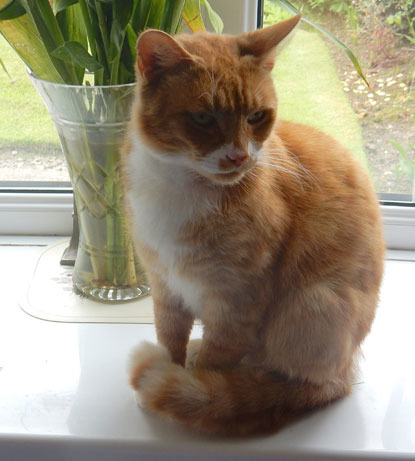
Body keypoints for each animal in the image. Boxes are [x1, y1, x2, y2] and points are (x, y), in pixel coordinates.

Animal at [122, 15, 386, 434]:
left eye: (256, 116)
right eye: (203, 118)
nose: (239, 156)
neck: (179, 187)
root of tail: (347, 370)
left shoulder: (236, 303)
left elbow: (213, 366)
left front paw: (190, 386)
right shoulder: (165, 288)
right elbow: (169, 339)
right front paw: (174, 368)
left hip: (313, 304)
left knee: (303, 385)